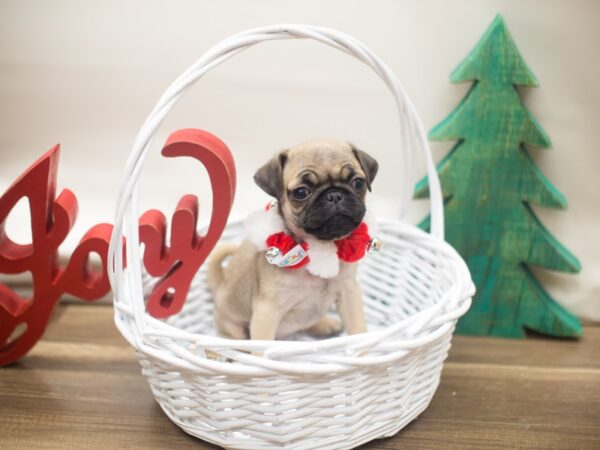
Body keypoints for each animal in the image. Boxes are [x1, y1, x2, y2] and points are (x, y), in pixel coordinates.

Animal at [206, 141, 376, 342]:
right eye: (301, 192)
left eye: (358, 183)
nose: (334, 195)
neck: (320, 247)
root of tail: (219, 285)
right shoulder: (267, 312)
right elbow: (263, 345)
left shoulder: (349, 293)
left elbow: (358, 330)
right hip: (232, 327)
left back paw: (325, 324)